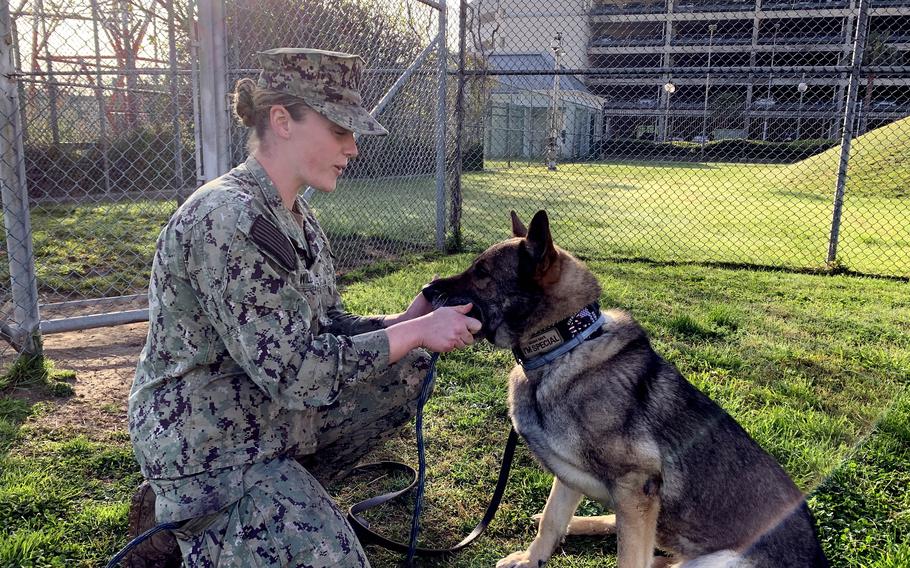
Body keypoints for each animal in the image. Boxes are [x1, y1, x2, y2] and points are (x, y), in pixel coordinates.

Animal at [424, 211, 832, 564]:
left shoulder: (637, 487)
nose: (427, 289)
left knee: (657, 559)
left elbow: (628, 557)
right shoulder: (571, 476)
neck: (563, 345)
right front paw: (531, 559)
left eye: (482, 273)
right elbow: (552, 520)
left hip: (712, 558)